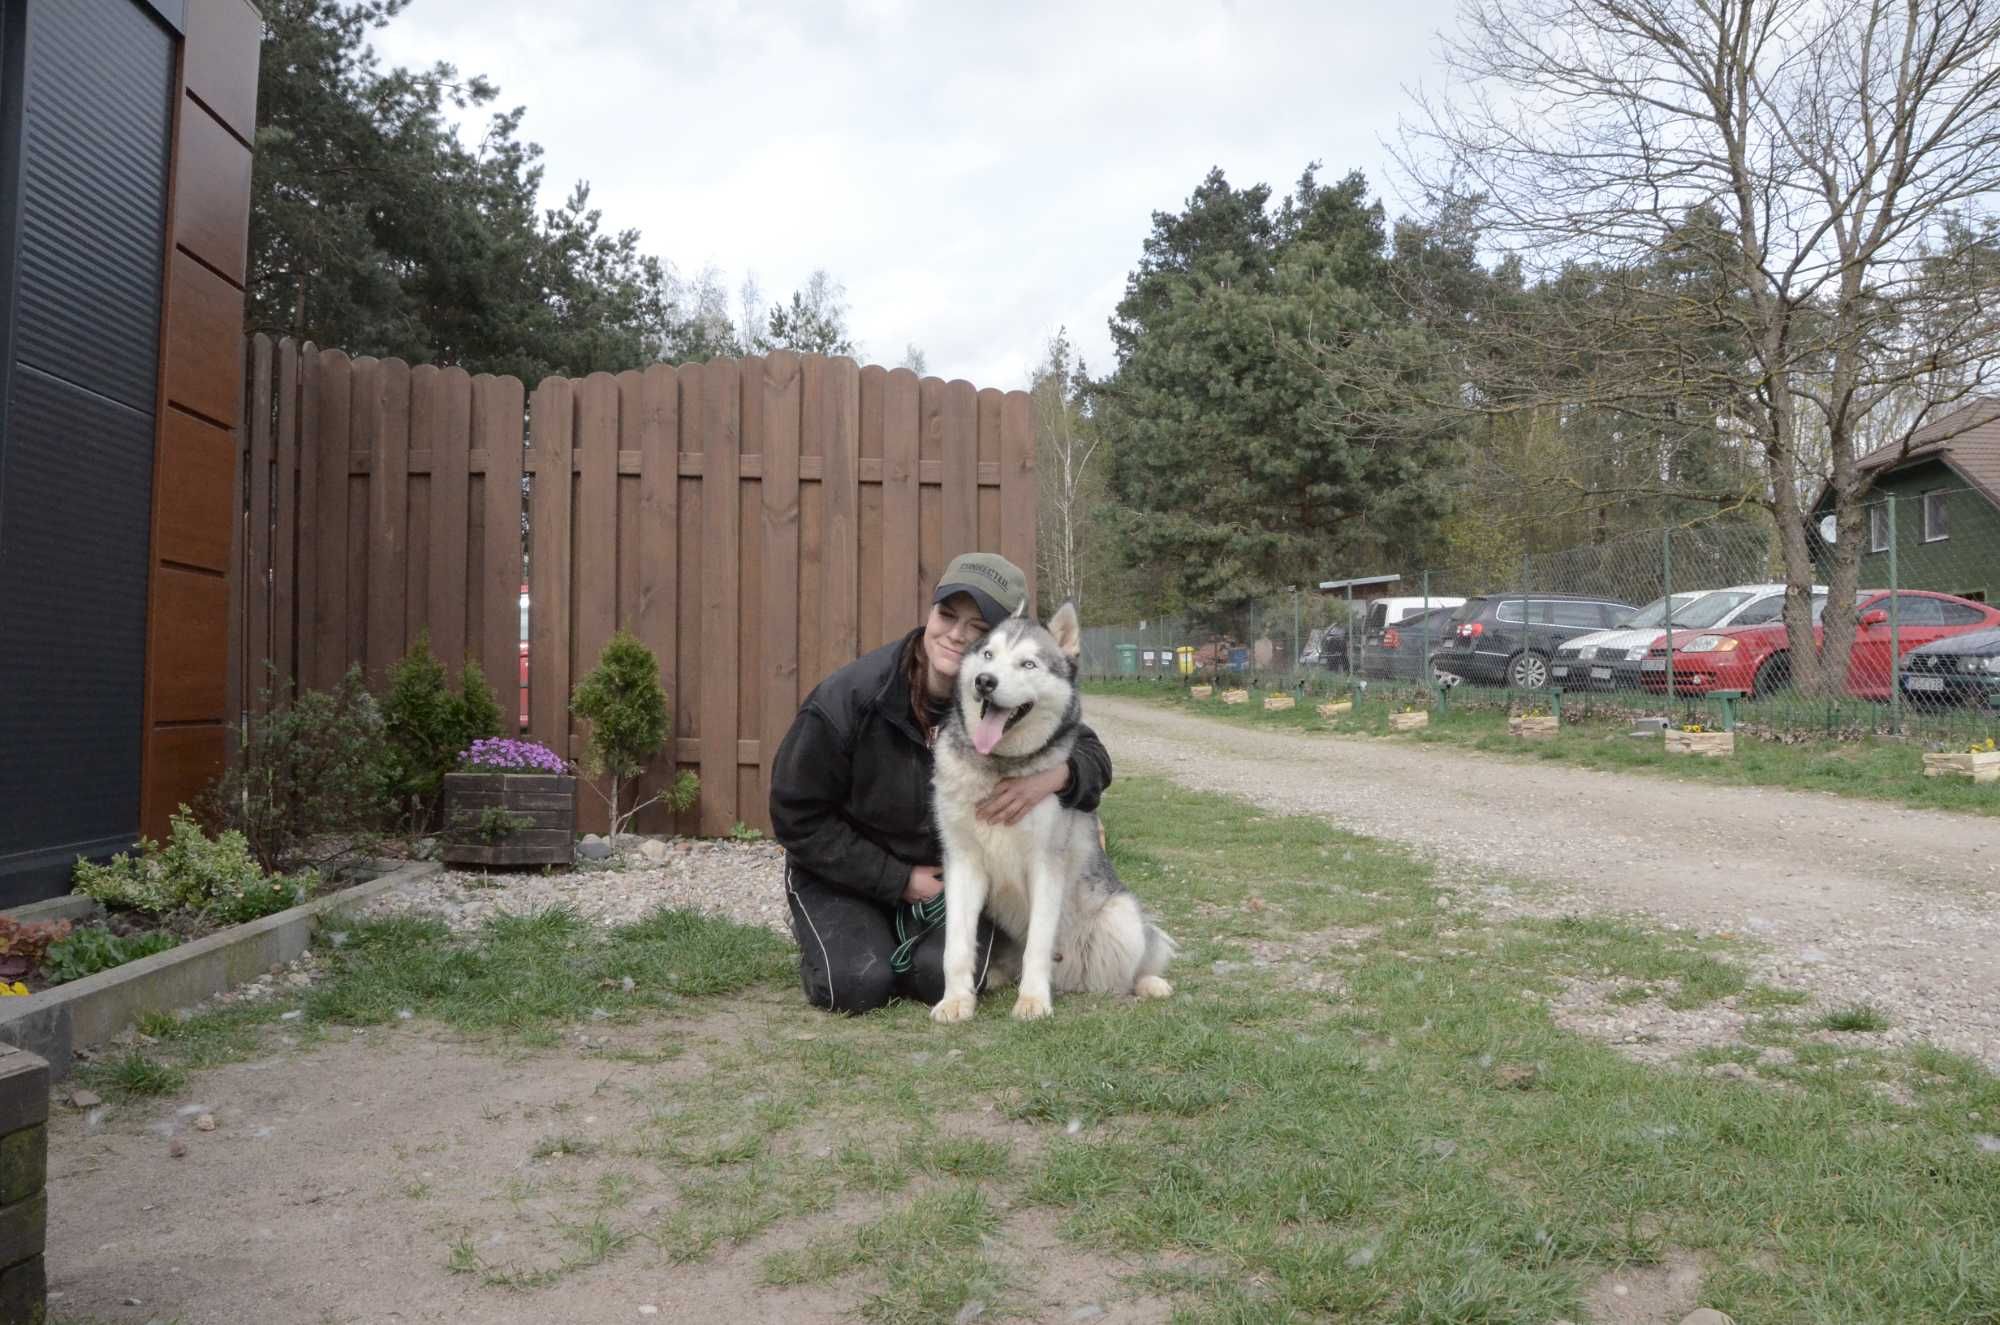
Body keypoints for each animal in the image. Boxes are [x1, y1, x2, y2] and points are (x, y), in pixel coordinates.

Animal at [932, 600, 1176, 1024]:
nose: (984, 681)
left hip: (1124, 916)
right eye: (988, 654)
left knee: (1132, 969)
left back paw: (1149, 984)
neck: (1000, 767)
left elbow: (1038, 945)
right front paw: (956, 1001)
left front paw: (1033, 1001)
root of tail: (1072, 978)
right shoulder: (962, 863)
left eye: (1028, 664)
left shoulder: (1045, 865)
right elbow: (956, 947)